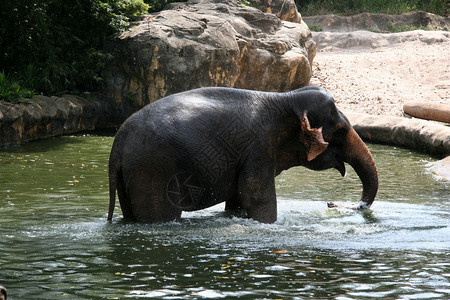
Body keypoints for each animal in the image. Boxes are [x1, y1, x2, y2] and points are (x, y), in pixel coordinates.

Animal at [108, 86, 376, 223]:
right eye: (340, 131)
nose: (330, 203)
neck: (286, 98)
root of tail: (117, 145)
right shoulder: (258, 149)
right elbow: (255, 196)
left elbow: (238, 198)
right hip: (153, 170)